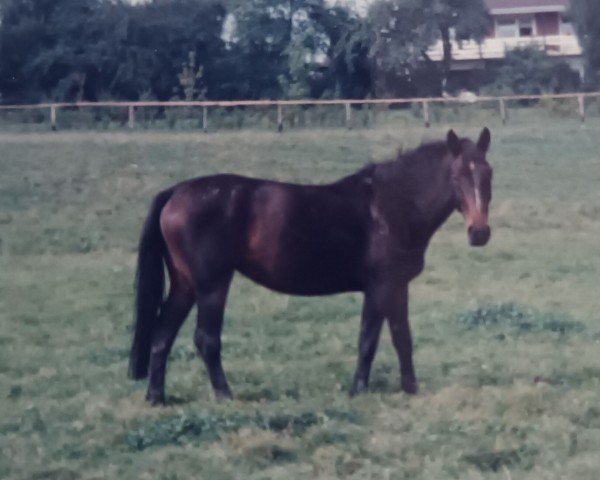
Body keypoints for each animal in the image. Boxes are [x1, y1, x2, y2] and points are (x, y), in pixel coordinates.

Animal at [126, 127, 492, 404]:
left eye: (488, 174)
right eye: (457, 176)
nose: (479, 232)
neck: (390, 204)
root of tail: (176, 192)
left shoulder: (380, 290)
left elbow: (376, 340)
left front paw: (367, 389)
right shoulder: (389, 286)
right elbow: (394, 337)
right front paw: (402, 389)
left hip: (185, 285)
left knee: (162, 335)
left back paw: (156, 397)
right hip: (212, 286)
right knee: (206, 339)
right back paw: (224, 395)